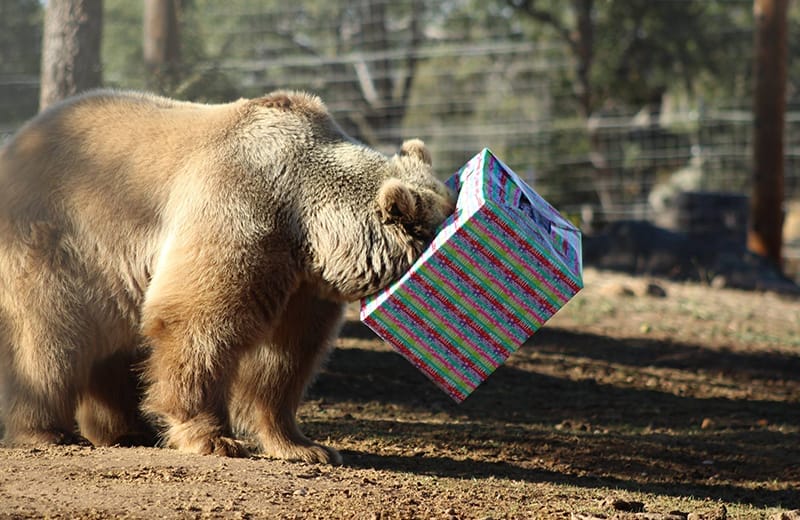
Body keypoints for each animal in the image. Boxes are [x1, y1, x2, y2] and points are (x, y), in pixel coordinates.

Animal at [0, 89, 455, 464]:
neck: (305, 226)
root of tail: (17, 142)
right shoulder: (241, 212)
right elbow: (201, 324)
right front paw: (215, 438)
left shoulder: (299, 283)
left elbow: (284, 359)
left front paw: (305, 446)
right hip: (58, 243)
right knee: (49, 337)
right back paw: (46, 432)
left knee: (111, 347)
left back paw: (127, 430)